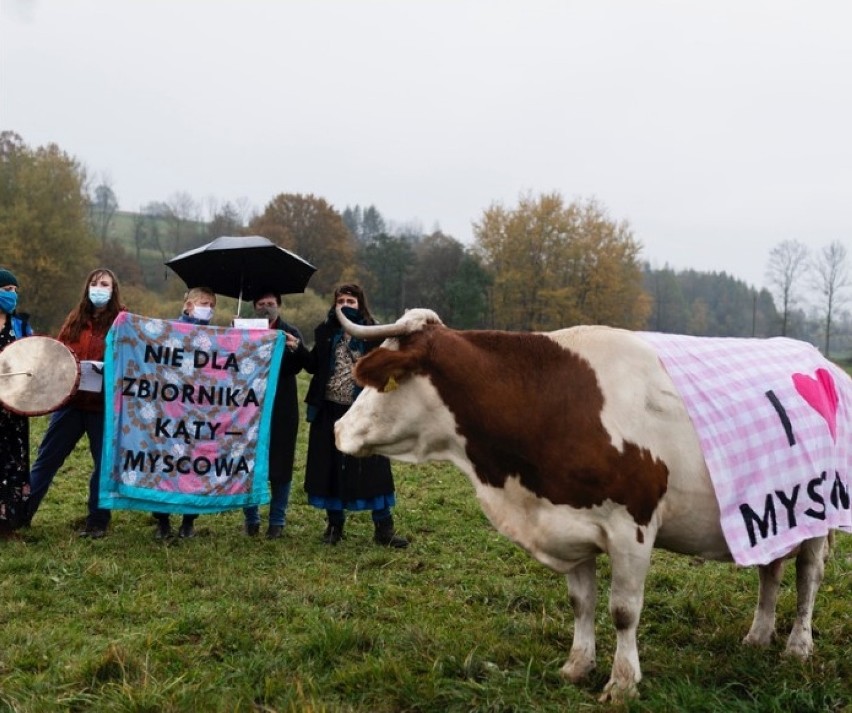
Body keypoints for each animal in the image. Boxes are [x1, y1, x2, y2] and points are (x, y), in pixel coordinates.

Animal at [332, 308, 844, 700]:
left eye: (383, 380)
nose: (337, 429)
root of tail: (824, 361)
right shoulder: (570, 522)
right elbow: (581, 603)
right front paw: (577, 666)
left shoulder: (632, 527)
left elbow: (623, 610)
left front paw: (622, 683)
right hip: (777, 514)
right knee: (771, 569)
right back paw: (758, 637)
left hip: (820, 509)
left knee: (808, 575)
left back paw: (797, 646)